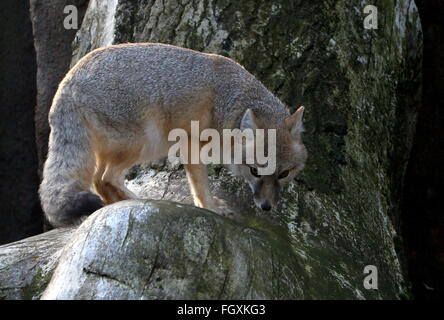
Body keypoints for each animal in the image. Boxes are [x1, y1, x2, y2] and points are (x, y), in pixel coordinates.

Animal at [40, 43, 306, 228]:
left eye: (283, 174)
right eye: (254, 171)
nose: (266, 207)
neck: (233, 102)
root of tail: (68, 80)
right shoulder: (190, 145)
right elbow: (200, 185)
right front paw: (210, 207)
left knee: (100, 181)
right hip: (144, 143)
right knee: (103, 179)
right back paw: (138, 200)